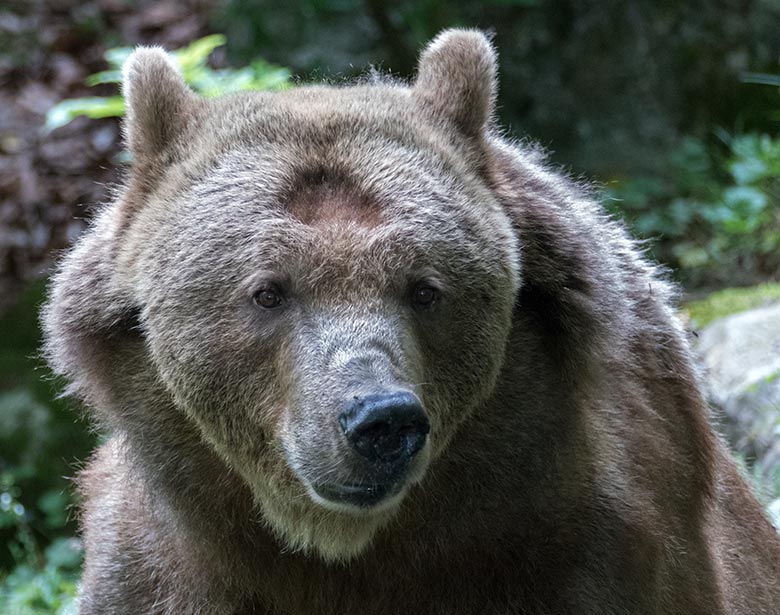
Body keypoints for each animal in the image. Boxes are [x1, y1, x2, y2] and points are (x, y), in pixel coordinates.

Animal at [41, 28, 780, 615]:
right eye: (268, 291)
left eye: (424, 288)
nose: (381, 419)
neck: (352, 550)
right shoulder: (162, 572)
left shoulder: (597, 550)